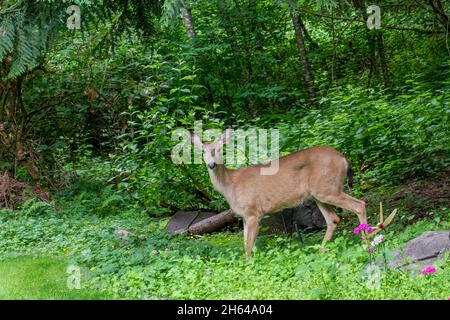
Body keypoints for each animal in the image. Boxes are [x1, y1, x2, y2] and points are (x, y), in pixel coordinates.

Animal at [188, 129, 368, 258]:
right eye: (202, 151)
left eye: (219, 150)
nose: (211, 165)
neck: (230, 185)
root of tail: (344, 159)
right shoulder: (244, 216)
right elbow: (245, 242)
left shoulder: (253, 212)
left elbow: (249, 245)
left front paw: (249, 264)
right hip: (320, 193)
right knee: (333, 219)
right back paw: (321, 251)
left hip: (328, 189)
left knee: (360, 204)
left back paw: (367, 244)